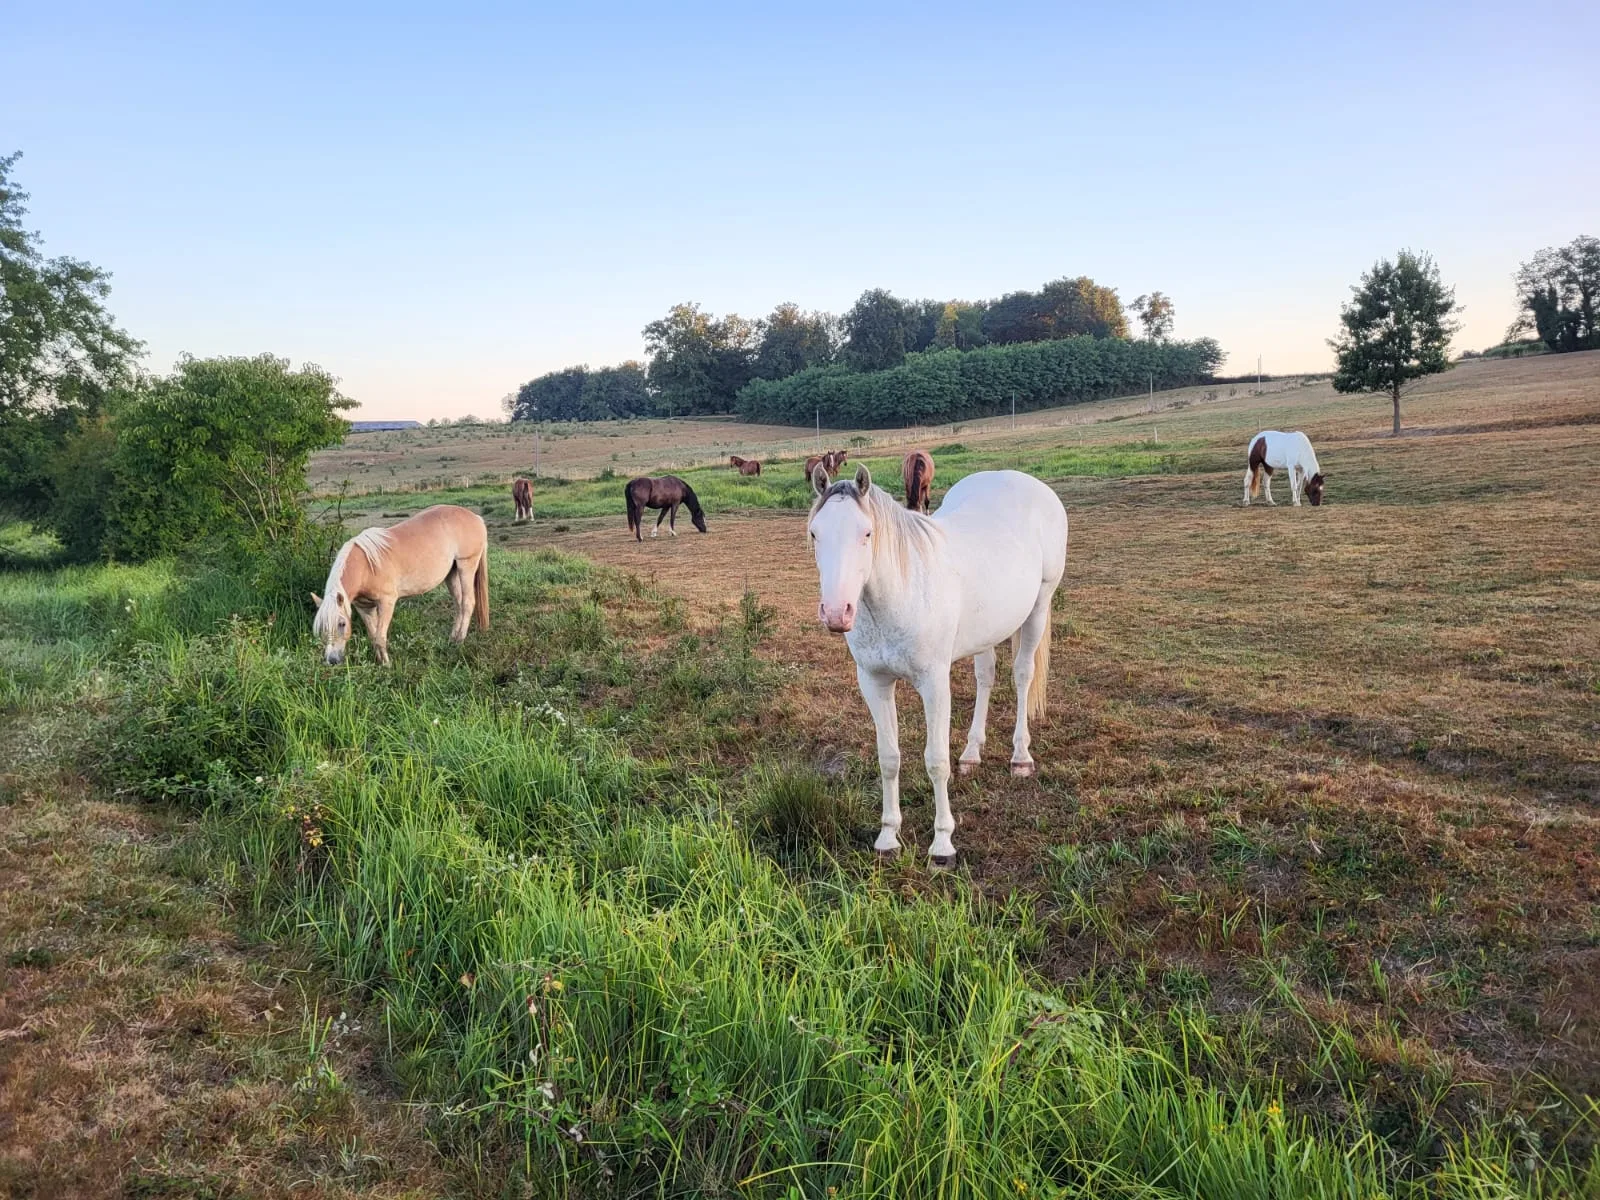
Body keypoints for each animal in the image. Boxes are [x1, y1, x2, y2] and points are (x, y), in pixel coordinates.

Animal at [312, 504, 489, 666]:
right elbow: (373, 635)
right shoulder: (365, 608)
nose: (332, 660)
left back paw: (459, 641)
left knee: (467, 603)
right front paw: (380, 662)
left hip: (466, 566)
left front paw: (387, 666)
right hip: (451, 574)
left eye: (341, 624)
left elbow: (380, 637)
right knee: (459, 604)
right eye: (321, 627)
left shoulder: (386, 602)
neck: (366, 566)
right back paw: (452, 638)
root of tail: (475, 517)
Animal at [808, 464, 1067, 866]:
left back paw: (1021, 757)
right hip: (988, 629)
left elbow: (936, 761)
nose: (837, 613)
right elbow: (889, 758)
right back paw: (972, 753)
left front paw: (943, 845)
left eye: (866, 533)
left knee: (1023, 675)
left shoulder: (933, 684)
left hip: (1039, 607)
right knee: (985, 677)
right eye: (815, 533)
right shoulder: (874, 682)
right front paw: (888, 837)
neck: (900, 592)